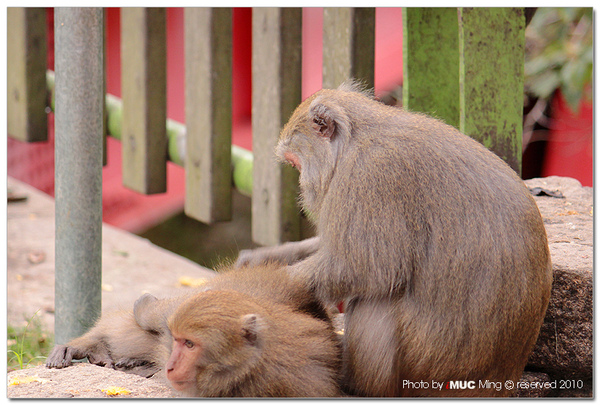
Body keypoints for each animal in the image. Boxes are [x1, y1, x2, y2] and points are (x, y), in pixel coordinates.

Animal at [236, 81, 552, 394]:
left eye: (296, 164)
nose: (302, 188)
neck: (356, 138)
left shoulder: (370, 177)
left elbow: (362, 267)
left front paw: (260, 286)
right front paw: (262, 259)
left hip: (422, 365)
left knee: (376, 295)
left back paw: (353, 383)